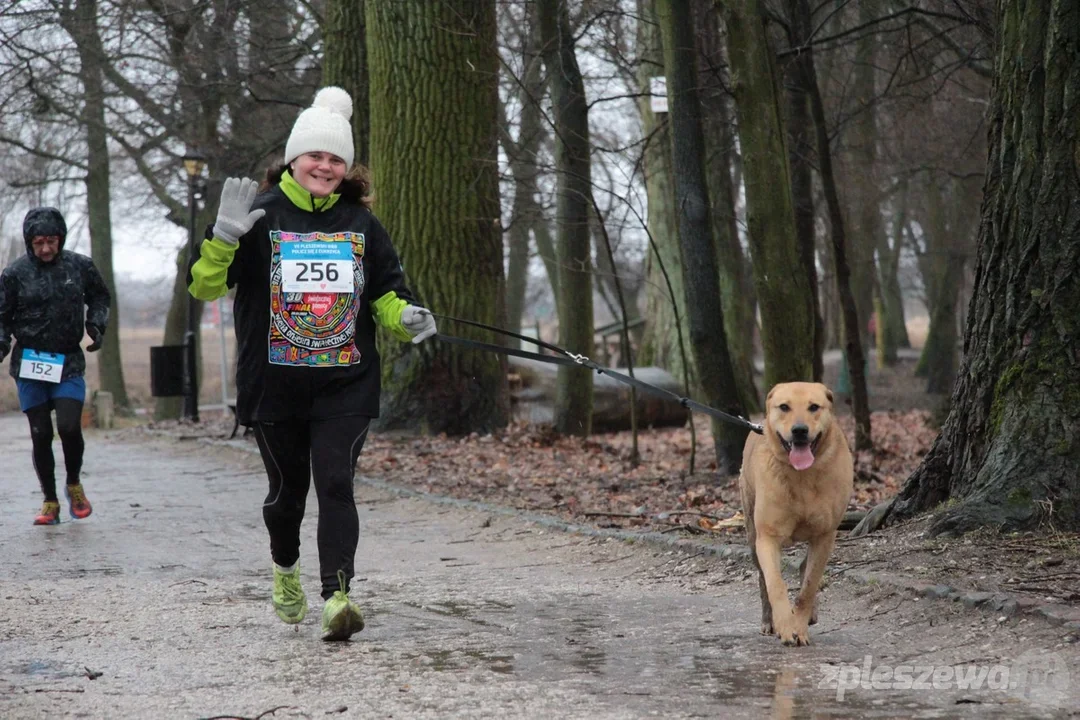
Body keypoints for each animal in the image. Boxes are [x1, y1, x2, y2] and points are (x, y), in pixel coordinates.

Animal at [743, 382, 851, 647]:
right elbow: (775, 583)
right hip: (751, 533)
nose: (800, 430)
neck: (801, 475)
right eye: (784, 407)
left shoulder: (824, 536)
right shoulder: (767, 536)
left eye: (814, 407)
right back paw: (768, 620)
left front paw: (799, 625)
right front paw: (785, 625)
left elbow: (808, 587)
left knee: (805, 568)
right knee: (761, 578)